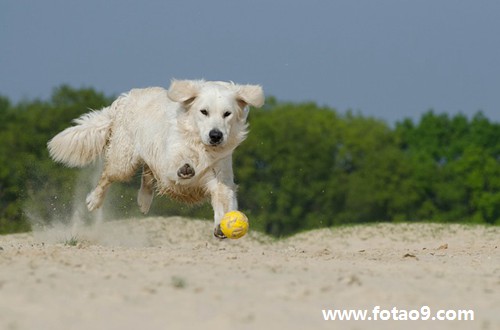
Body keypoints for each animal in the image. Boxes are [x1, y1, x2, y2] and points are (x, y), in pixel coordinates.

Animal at [48, 80, 264, 240]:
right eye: (204, 111)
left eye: (227, 114)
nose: (216, 135)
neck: (200, 147)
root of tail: (125, 99)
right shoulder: (168, 164)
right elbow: (177, 165)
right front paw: (185, 168)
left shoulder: (221, 179)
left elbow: (224, 200)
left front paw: (222, 225)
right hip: (124, 161)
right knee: (107, 176)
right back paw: (94, 201)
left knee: (147, 172)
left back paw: (143, 201)